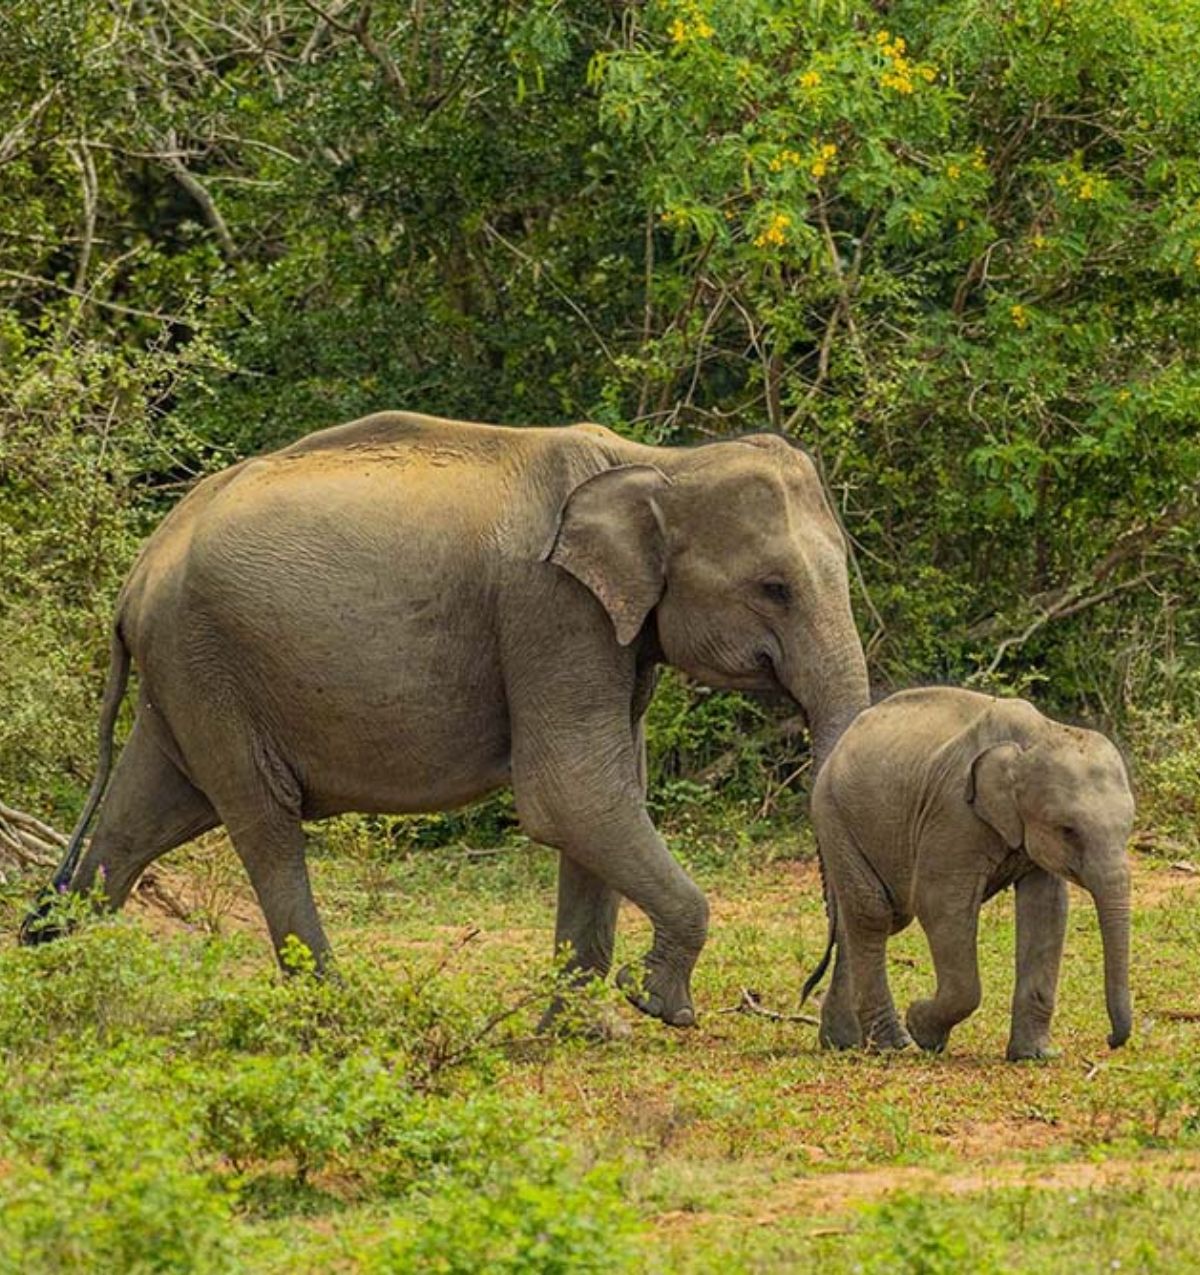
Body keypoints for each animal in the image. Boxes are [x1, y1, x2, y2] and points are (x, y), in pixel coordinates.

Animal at [23, 413, 867, 1030]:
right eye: (775, 587)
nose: (809, 995)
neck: (658, 461)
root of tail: (137, 573)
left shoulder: (609, 634)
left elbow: (605, 795)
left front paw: (583, 1031)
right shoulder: (550, 611)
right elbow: (571, 795)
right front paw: (661, 1007)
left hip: (186, 680)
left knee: (138, 820)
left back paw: (54, 976)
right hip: (209, 667)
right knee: (264, 825)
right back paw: (339, 1015)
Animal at [805, 688, 1132, 1055]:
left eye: (1128, 828)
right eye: (1068, 830)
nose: (1111, 1040)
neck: (1037, 735)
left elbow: (1046, 909)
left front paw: (1035, 1055)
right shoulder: (954, 813)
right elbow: (939, 903)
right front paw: (922, 1028)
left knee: (870, 918)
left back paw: (843, 1042)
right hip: (833, 815)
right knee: (874, 914)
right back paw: (894, 1044)